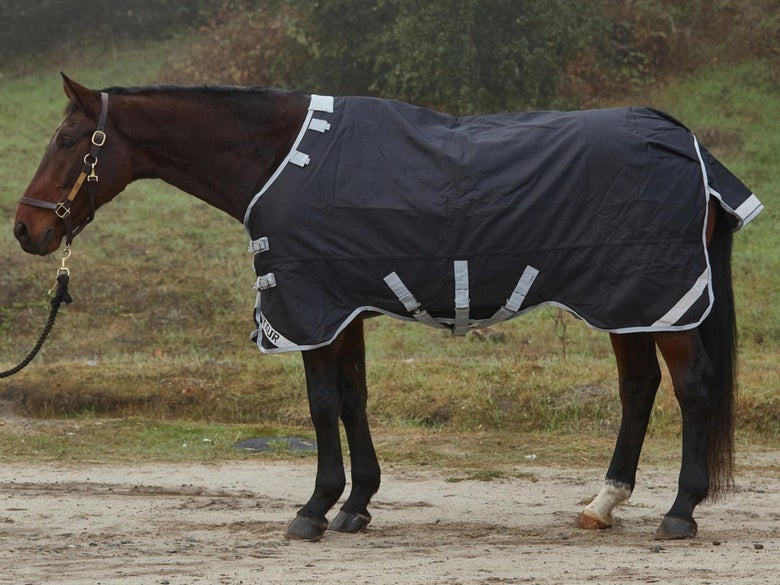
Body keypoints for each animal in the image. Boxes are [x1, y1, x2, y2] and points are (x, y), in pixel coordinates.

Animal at [13, 75, 763, 542]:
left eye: (67, 141)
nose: (27, 230)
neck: (281, 160)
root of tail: (685, 142)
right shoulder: (344, 310)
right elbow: (353, 400)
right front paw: (357, 503)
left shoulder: (312, 310)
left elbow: (322, 405)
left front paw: (315, 507)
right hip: (628, 303)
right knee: (639, 388)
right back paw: (603, 503)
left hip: (657, 297)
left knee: (693, 388)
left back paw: (681, 510)